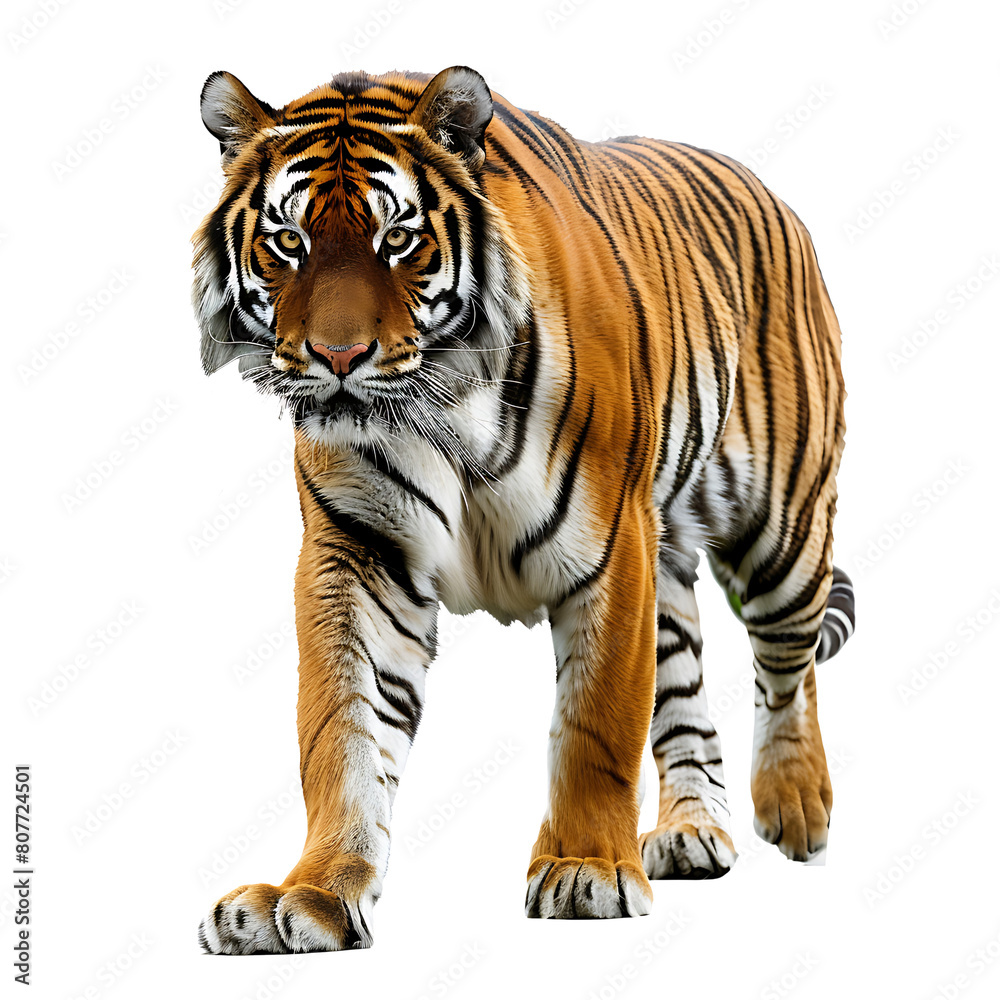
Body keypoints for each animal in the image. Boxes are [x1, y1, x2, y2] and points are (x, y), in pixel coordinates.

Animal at [192, 65, 855, 954]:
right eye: (289, 241)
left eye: (397, 239)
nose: (338, 358)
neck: (437, 406)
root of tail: (768, 189)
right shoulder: (358, 553)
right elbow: (342, 732)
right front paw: (311, 895)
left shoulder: (613, 545)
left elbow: (597, 725)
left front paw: (586, 870)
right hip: (671, 564)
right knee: (685, 695)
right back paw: (693, 829)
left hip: (781, 521)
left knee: (790, 662)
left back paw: (794, 804)